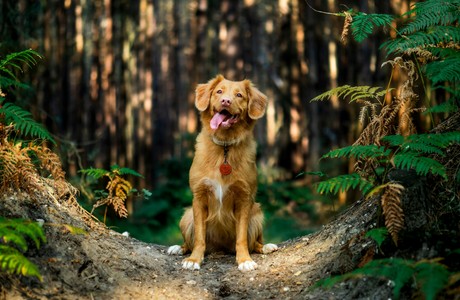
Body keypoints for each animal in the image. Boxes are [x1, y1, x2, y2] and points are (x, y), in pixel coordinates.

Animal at [168, 74, 278, 272]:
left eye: (239, 95)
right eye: (219, 91)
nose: (226, 101)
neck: (225, 145)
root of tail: (220, 248)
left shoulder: (244, 199)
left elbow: (242, 238)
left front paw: (244, 260)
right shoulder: (199, 197)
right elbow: (199, 237)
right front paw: (194, 259)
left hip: (257, 213)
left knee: (255, 242)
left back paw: (265, 246)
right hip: (186, 216)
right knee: (189, 241)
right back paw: (179, 248)